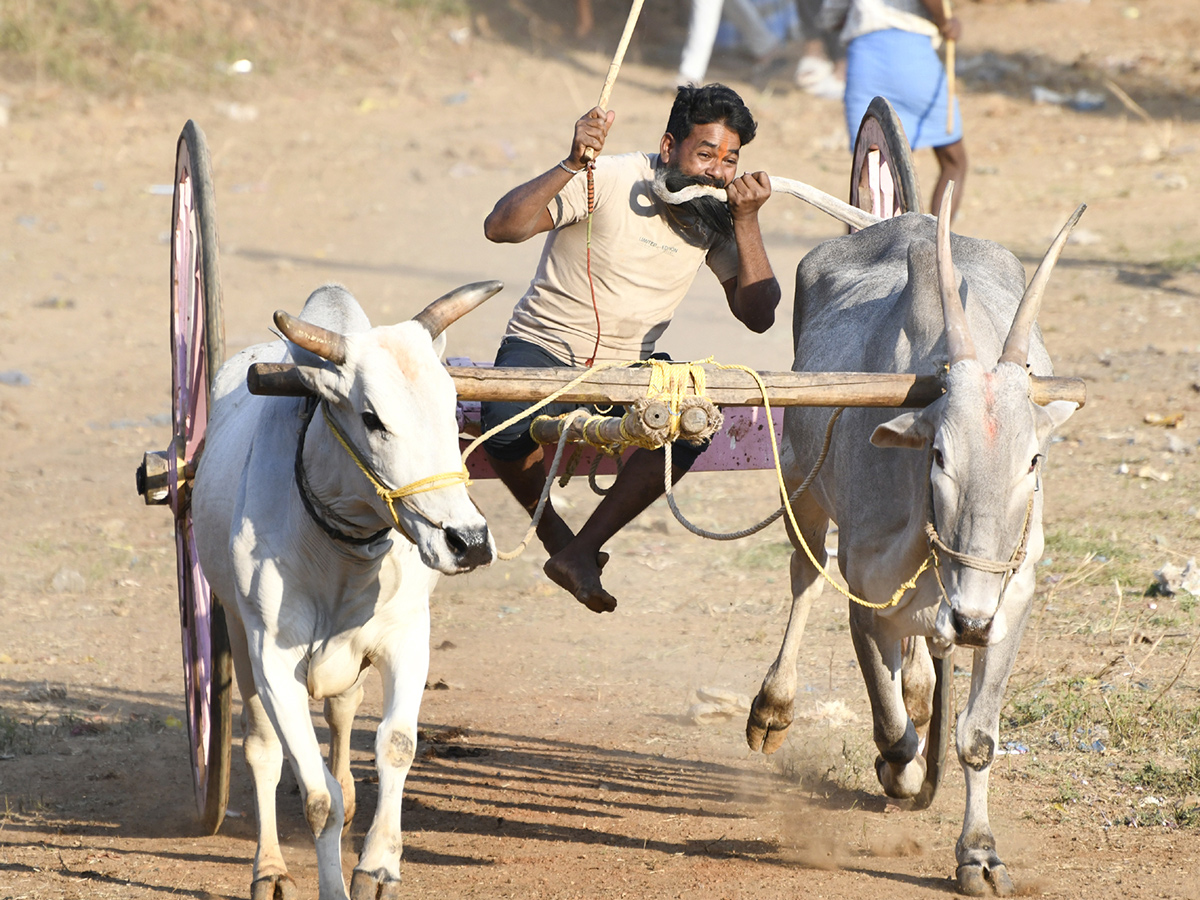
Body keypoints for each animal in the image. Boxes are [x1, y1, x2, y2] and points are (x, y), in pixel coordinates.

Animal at [744, 194, 1084, 897]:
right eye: (939, 455)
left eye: (1034, 459)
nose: (971, 620)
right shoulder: (864, 597)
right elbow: (891, 727)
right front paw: (898, 771)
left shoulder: (1013, 600)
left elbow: (977, 737)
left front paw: (979, 853)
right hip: (801, 488)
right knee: (803, 578)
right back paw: (774, 706)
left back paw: (927, 687)